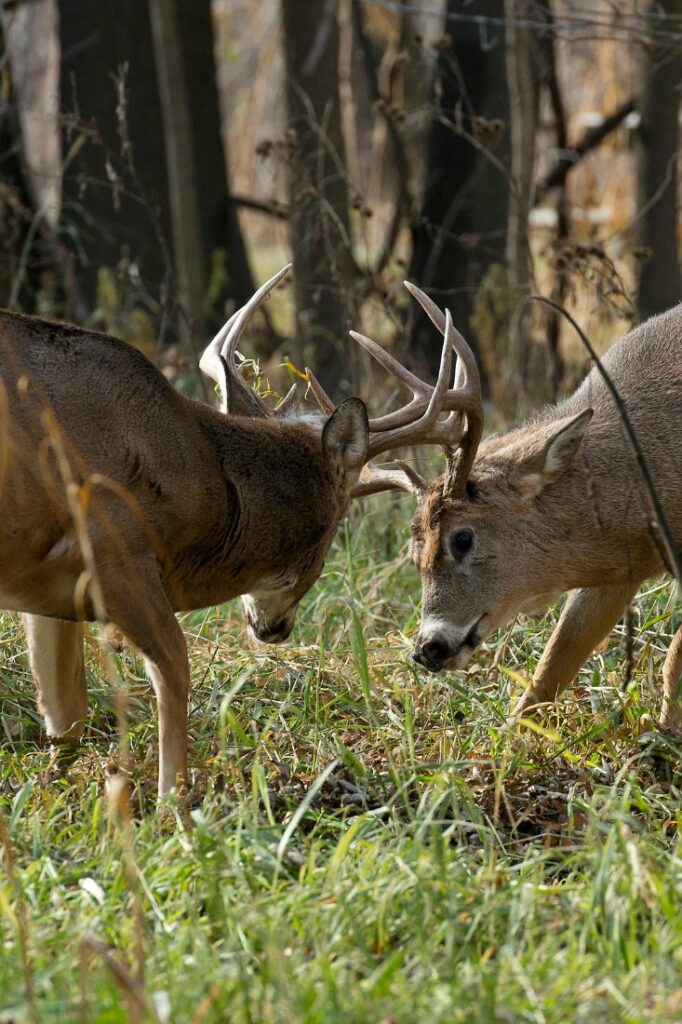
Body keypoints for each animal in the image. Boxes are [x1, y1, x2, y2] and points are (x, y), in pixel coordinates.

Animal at [0, 260, 477, 794]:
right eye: (333, 529)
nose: (278, 628)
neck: (203, 475)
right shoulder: (114, 542)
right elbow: (174, 667)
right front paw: (173, 802)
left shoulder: (47, 583)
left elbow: (66, 714)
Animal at [333, 284, 679, 741]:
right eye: (414, 555)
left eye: (462, 538)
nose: (427, 649)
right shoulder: (619, 566)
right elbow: (554, 663)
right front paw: (509, 741)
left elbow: (674, 656)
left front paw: (663, 737)